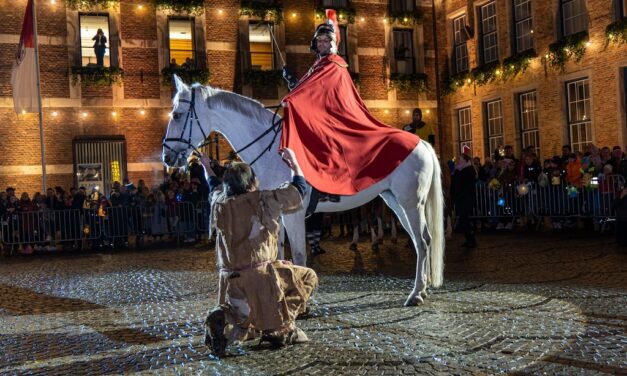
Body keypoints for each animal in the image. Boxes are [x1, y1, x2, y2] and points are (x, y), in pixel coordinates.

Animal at [162, 75, 446, 306]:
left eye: (176, 115)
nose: (166, 157)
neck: (272, 150)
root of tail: (421, 143)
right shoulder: (274, 213)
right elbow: (276, 255)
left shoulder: (294, 213)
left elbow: (298, 254)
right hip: (395, 202)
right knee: (421, 240)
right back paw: (423, 287)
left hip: (410, 203)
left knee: (422, 242)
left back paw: (416, 293)